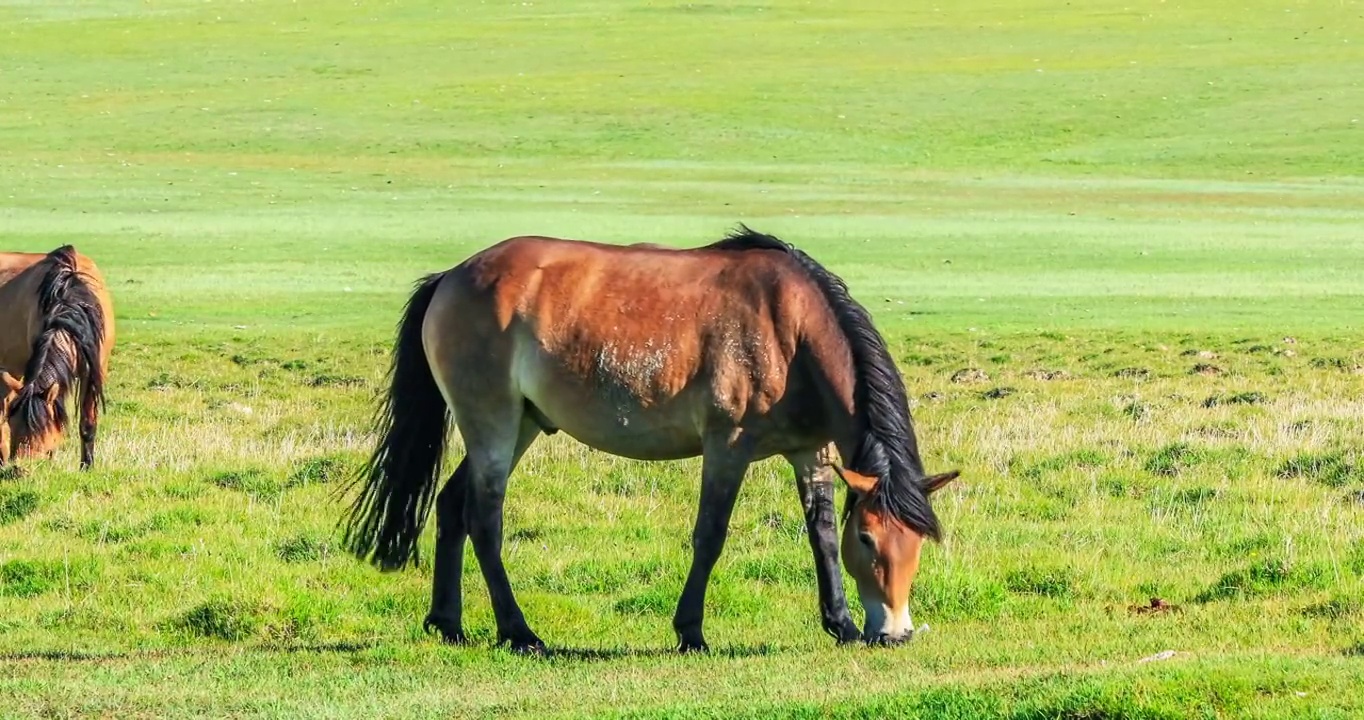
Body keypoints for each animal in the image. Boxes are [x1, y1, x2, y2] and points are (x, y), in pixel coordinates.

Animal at [0, 244, 114, 469]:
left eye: (43, 428)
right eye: (14, 426)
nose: (22, 469)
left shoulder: (93, 372)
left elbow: (88, 423)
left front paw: (87, 466)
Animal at [343, 229, 960, 651]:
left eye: (917, 542)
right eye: (870, 540)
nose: (896, 632)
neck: (792, 331)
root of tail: (451, 276)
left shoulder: (810, 452)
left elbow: (821, 536)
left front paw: (841, 624)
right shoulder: (727, 447)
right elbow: (710, 537)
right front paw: (691, 632)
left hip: (521, 425)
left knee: (451, 506)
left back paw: (448, 624)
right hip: (492, 424)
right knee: (482, 519)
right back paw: (520, 633)